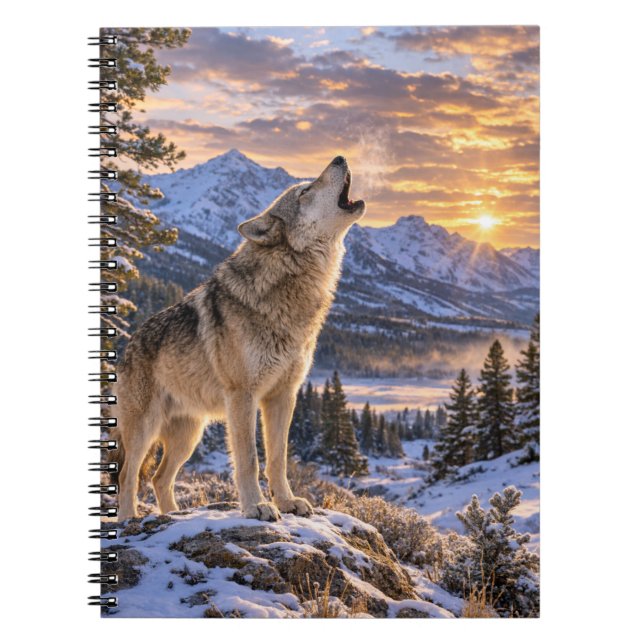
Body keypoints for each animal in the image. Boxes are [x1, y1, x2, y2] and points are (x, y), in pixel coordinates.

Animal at [114, 156, 365, 522]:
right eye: (305, 191)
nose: (340, 158)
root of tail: (127, 345)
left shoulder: (282, 396)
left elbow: (277, 459)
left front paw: (287, 502)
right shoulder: (243, 396)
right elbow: (249, 459)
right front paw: (256, 506)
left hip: (189, 435)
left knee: (160, 478)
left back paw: (173, 516)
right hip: (145, 429)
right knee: (127, 475)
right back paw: (129, 519)